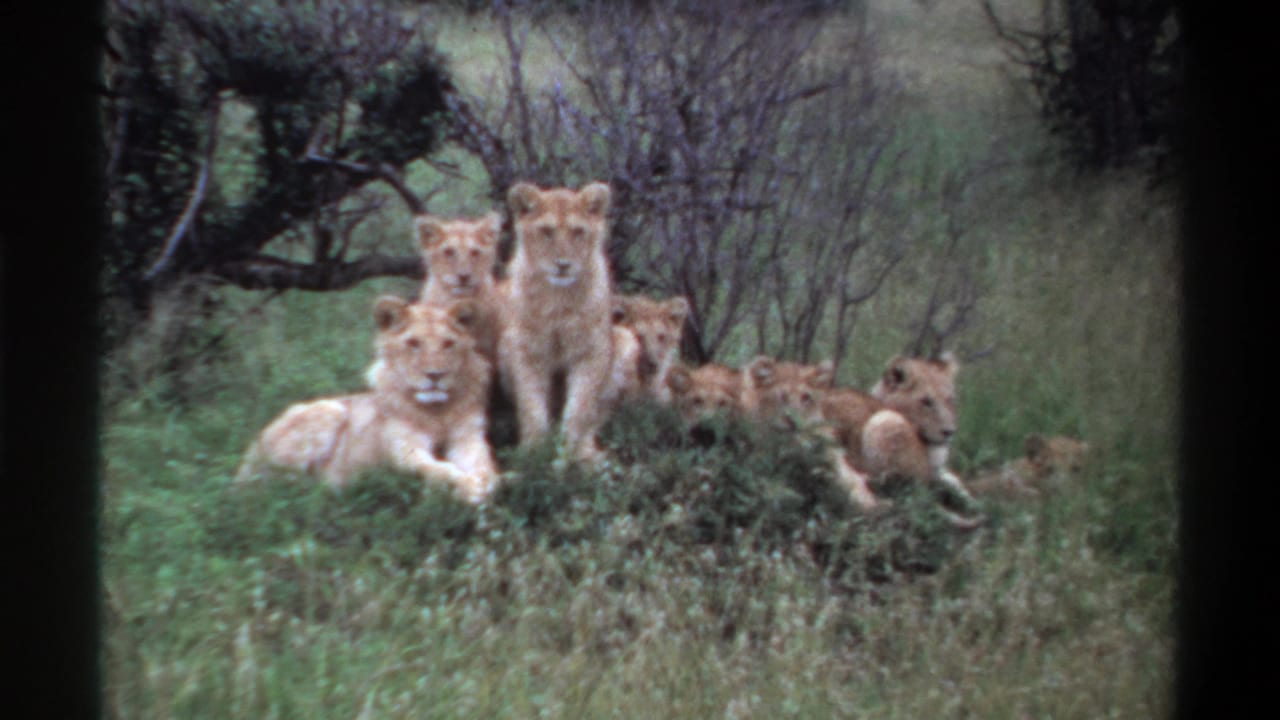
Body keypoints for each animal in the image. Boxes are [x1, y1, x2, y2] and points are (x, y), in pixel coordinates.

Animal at [236, 297, 499, 504]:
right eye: (413, 343)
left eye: (448, 344)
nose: (435, 375)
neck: (437, 411)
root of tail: (249, 455)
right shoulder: (403, 450)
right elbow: (437, 469)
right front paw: (468, 487)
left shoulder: (468, 438)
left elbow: (484, 464)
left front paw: (488, 481)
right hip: (330, 410)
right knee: (274, 486)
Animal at [498, 181, 616, 461]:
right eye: (546, 231)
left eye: (578, 231)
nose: (563, 265)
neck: (557, 300)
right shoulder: (525, 350)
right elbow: (532, 407)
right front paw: (533, 453)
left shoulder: (591, 351)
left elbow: (580, 409)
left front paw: (572, 453)